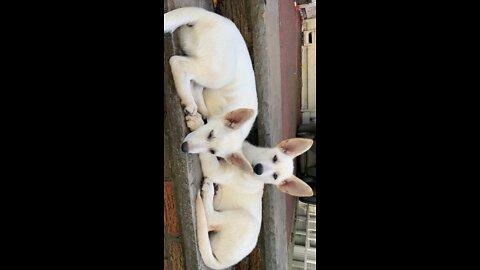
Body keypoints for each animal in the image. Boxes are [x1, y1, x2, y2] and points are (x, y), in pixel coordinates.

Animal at [163, 7, 256, 159]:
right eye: (210, 134)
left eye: (212, 152)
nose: (184, 147)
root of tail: (207, 15)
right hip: (218, 73)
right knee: (177, 62)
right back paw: (188, 100)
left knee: (192, 80)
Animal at [196, 138, 316, 268]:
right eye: (275, 158)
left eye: (275, 176)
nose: (258, 169)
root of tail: (222, 263)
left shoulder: (218, 171)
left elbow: (209, 157)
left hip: (243, 219)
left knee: (210, 218)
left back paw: (209, 190)